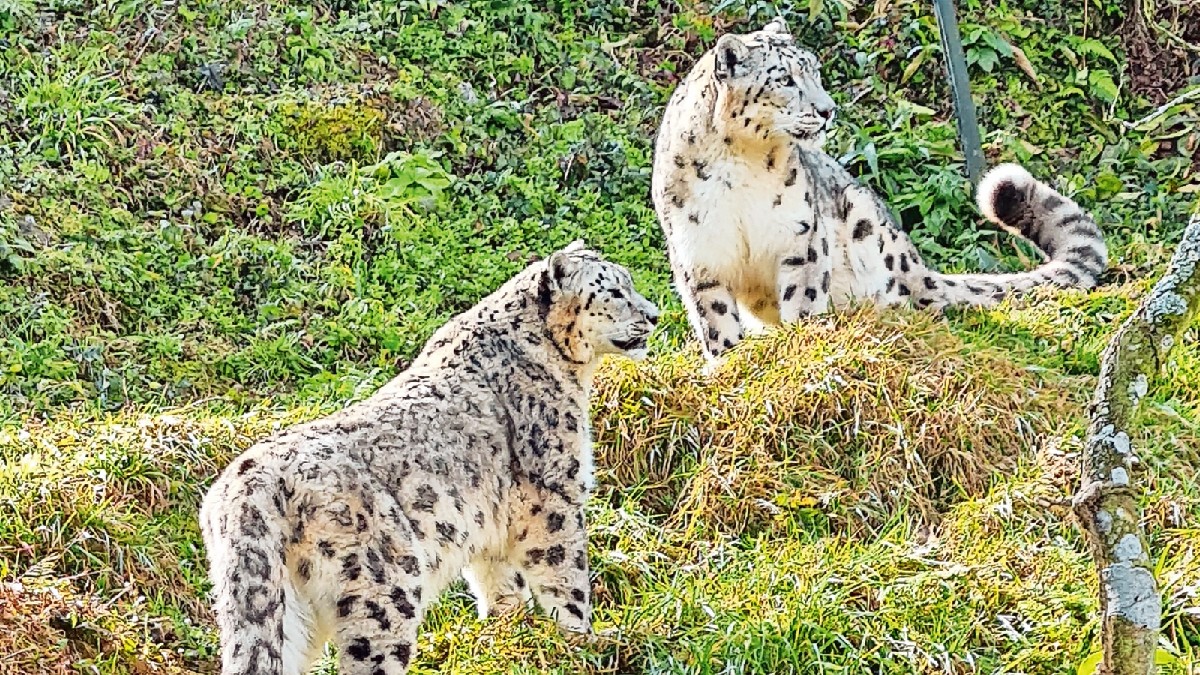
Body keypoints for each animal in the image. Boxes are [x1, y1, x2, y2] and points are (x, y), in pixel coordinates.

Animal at [198, 240, 659, 675]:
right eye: (615, 291)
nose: (655, 315)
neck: (570, 369)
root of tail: (248, 483)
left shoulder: (495, 521)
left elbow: (500, 581)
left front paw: (510, 633)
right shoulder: (554, 493)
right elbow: (566, 575)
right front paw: (584, 639)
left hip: (285, 605)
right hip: (386, 587)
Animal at [651, 16, 1108, 365]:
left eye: (814, 71)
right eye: (785, 79)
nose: (827, 109)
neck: (741, 166)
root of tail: (916, 265)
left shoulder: (800, 236)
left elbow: (803, 297)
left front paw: (802, 346)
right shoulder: (700, 257)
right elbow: (716, 321)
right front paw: (727, 362)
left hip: (866, 222)